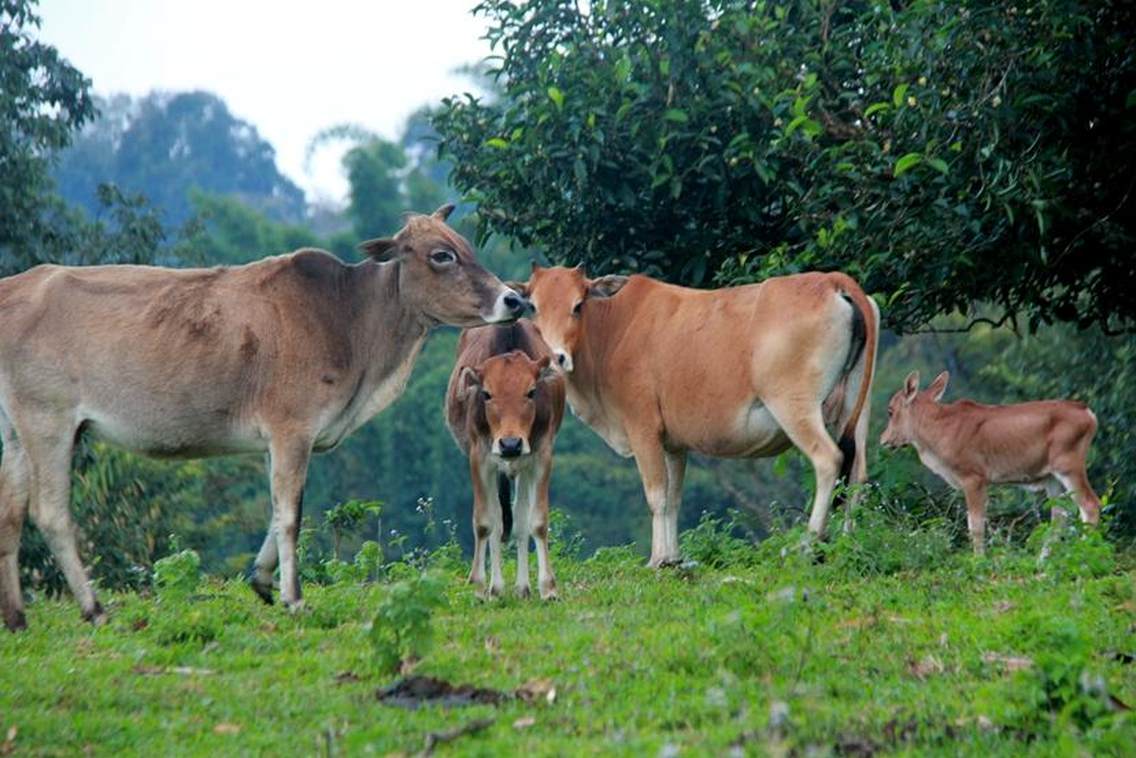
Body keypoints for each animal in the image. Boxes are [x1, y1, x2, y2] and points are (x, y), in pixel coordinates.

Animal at [0, 203, 522, 627]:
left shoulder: (283, 440)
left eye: (466, 246)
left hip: (16, 432)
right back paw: (93, 608)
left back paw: (17, 616)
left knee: (10, 512)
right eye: (442, 255)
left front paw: (263, 580)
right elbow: (290, 514)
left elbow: (277, 512)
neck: (348, 317)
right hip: (48, 421)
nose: (512, 299)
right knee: (51, 513)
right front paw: (294, 597)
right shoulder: (292, 430)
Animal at [445, 320, 565, 600]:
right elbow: (485, 523)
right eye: (487, 394)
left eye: (531, 391)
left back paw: (522, 587)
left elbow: (537, 522)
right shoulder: (479, 457)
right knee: (499, 522)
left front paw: (548, 587)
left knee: (519, 520)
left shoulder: (541, 455)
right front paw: (479, 587)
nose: (511, 444)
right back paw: (497, 588)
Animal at [520, 263, 881, 565]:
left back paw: (809, 544)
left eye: (578, 305)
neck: (614, 329)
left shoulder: (643, 429)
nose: (556, 357)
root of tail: (831, 280)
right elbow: (673, 498)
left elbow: (657, 496)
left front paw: (657, 560)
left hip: (794, 405)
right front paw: (672, 557)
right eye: (533, 306)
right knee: (857, 472)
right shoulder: (674, 444)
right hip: (856, 409)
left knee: (829, 460)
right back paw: (849, 542)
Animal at [876, 370, 1099, 554]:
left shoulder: (974, 478)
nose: (884, 440)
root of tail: (1089, 414)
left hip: (1069, 466)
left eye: (890, 410)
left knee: (1090, 505)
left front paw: (979, 560)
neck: (938, 431)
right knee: (1060, 517)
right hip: (1052, 479)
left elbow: (975, 525)